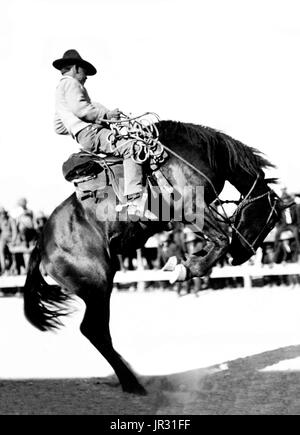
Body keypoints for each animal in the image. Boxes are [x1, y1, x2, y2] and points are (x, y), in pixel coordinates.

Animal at [22, 121, 282, 396]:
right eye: (271, 221)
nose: (243, 256)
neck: (195, 154)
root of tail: (42, 243)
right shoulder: (192, 207)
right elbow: (222, 241)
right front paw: (186, 269)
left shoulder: (189, 216)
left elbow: (215, 241)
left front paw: (185, 262)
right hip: (97, 286)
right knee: (95, 330)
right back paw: (132, 382)